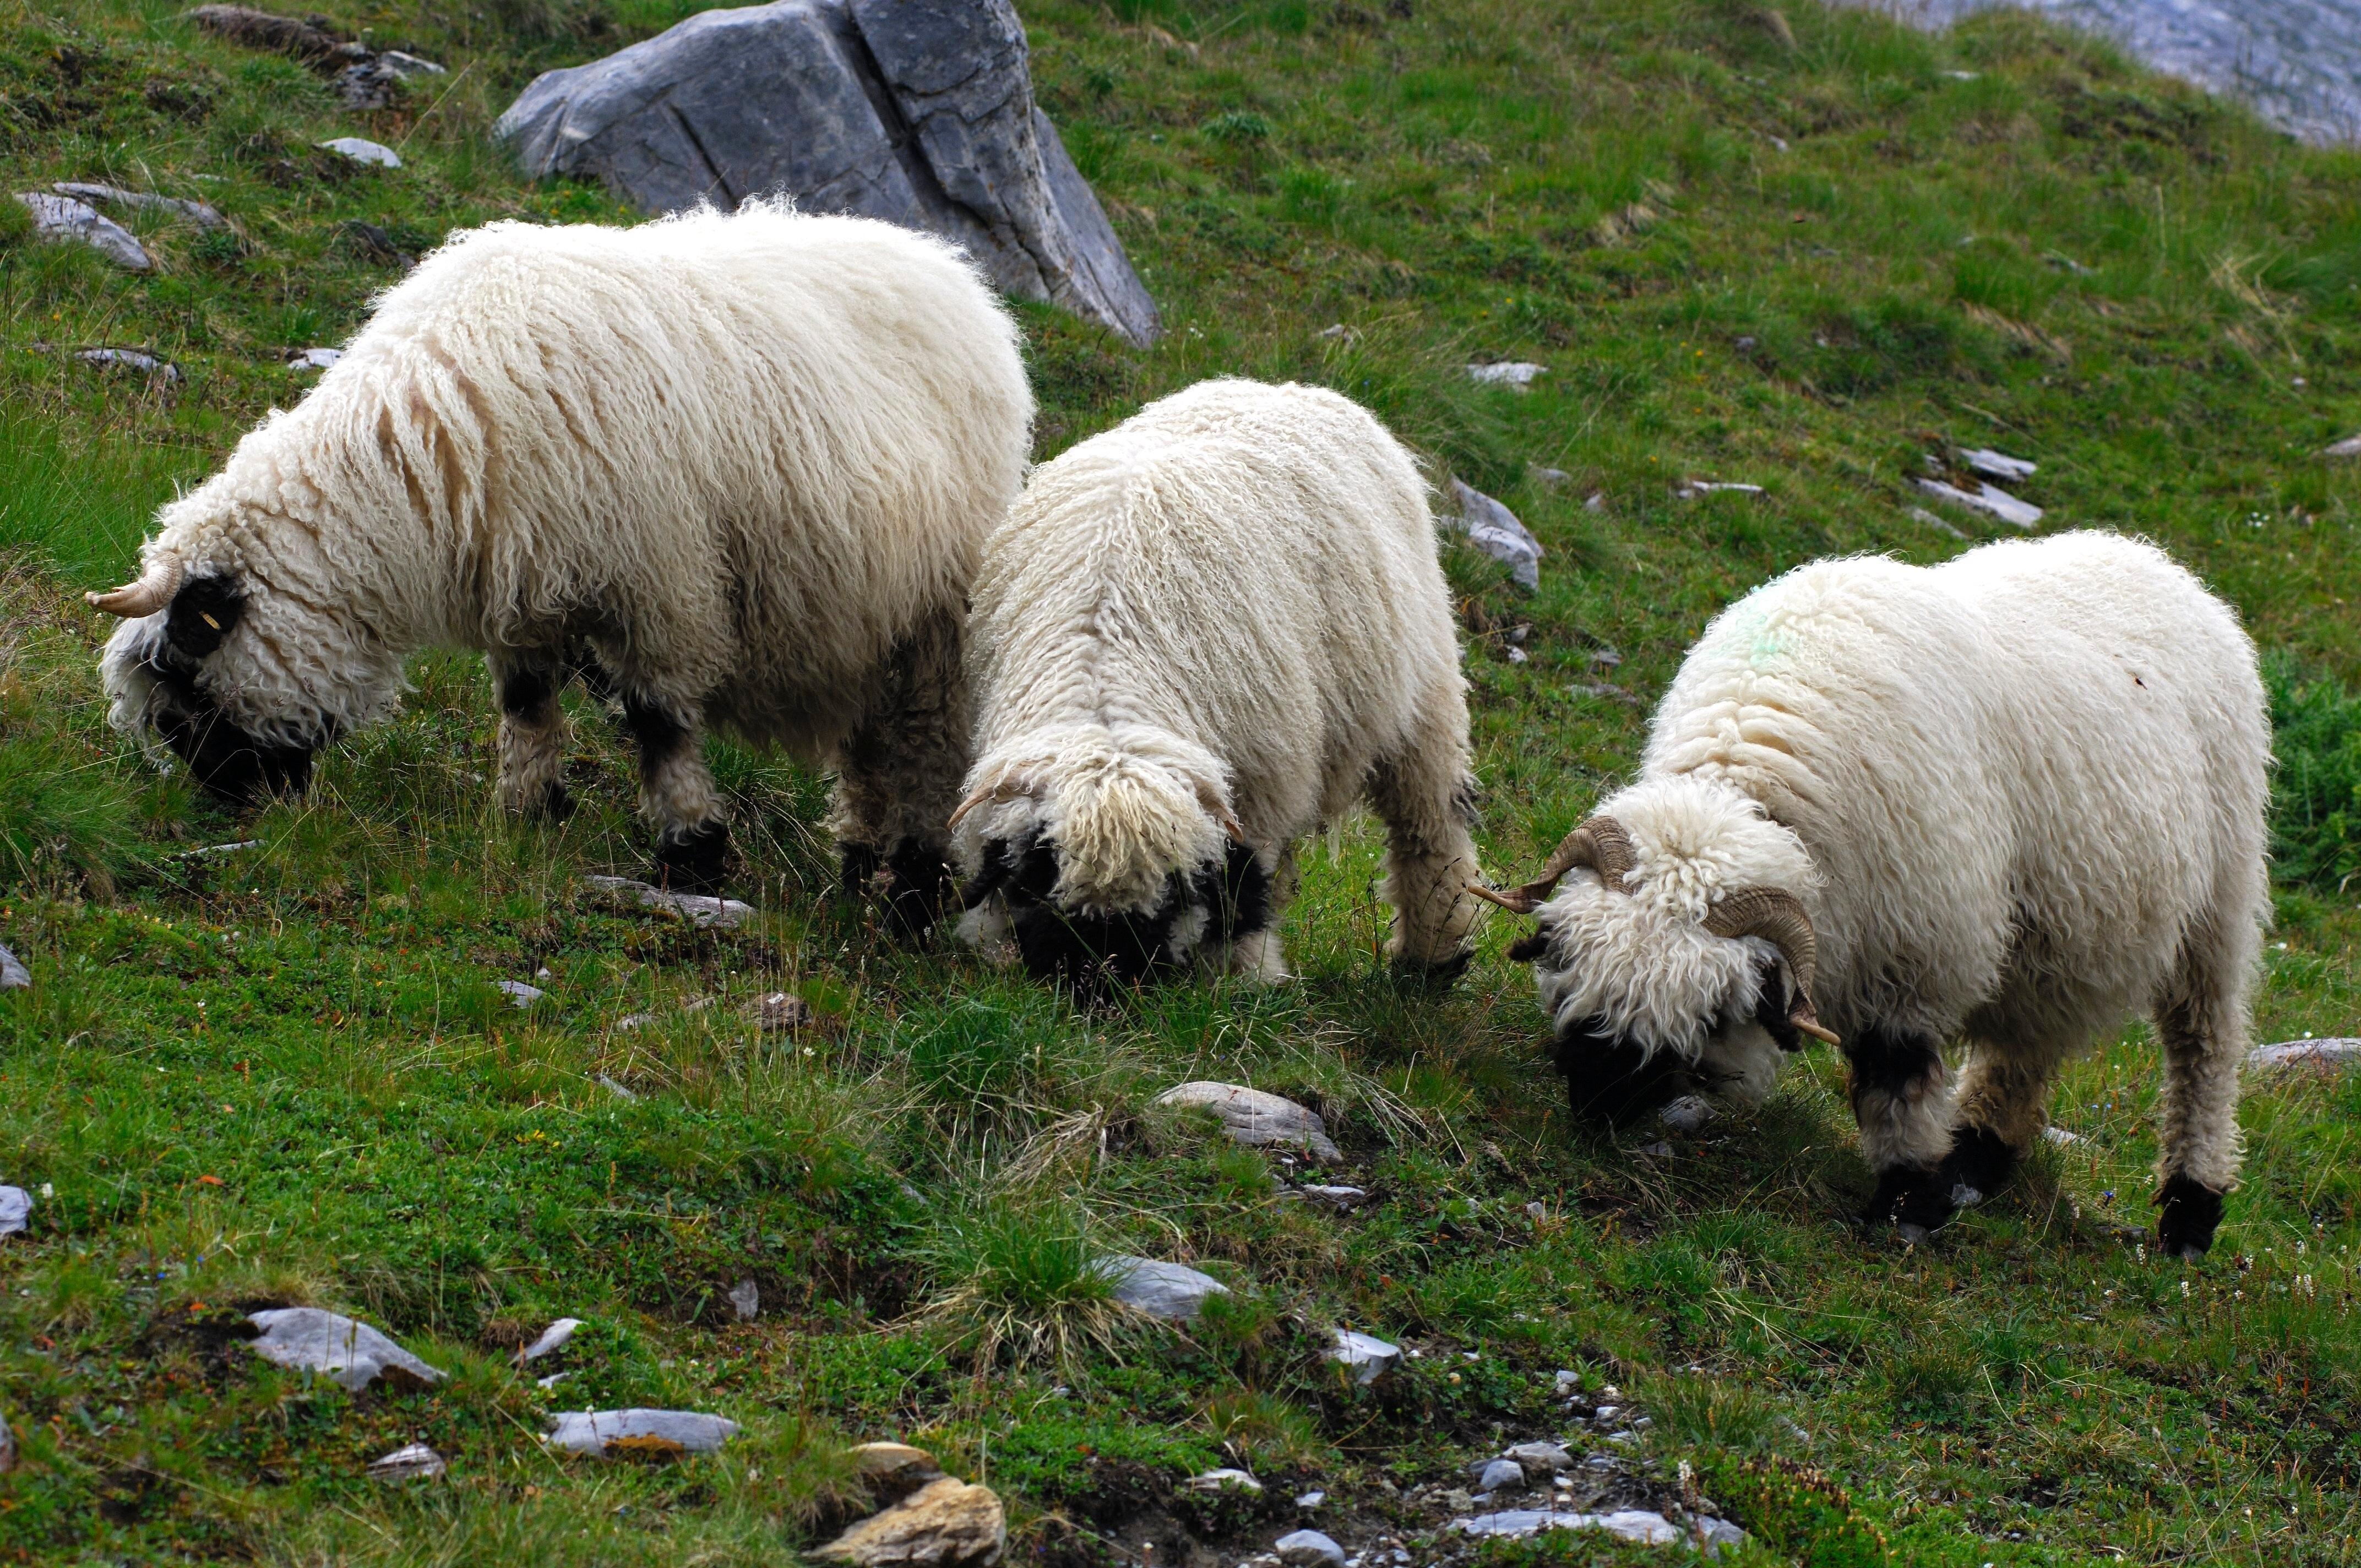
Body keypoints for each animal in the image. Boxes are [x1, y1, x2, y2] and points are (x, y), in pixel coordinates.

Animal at [88, 201, 1034, 928]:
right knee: (873, 753)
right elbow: (528, 707)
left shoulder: (662, 583)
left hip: (932, 620)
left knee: (924, 744)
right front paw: (527, 814)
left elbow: (659, 723)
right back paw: (860, 867)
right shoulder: (525, 589)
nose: (230, 806)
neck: (430, 450)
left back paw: (911, 891)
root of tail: (951, 271)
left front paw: (692, 850)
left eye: (186, 679)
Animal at [949, 377, 1482, 989]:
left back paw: (1433, 957)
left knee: (1430, 825)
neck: (1106, 681)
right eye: (1045, 885)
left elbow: (1242, 886)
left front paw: (1245, 976)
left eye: (1162, 906)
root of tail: (1283, 386)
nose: (1102, 982)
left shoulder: (1260, 785)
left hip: (1425, 691)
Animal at [1479, 531, 2268, 1258]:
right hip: (2049, 930)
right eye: (1563, 966)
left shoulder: (1920, 947)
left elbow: (1897, 1076)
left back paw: (2189, 1212)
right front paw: (1930, 1190)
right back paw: (1977, 1159)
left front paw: (1906, 1207)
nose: (1595, 1103)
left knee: (2204, 1049)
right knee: (2026, 1042)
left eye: (1709, 1013)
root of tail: (2155, 560)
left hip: (2219, 903)